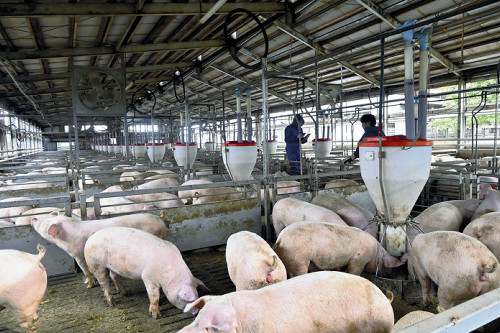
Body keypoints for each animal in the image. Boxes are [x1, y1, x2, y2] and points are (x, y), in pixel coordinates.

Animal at [31, 213, 166, 288]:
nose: (33, 218)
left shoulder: (78, 255)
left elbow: (85, 270)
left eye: (45, 223)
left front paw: (88, 285)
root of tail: (159, 218)